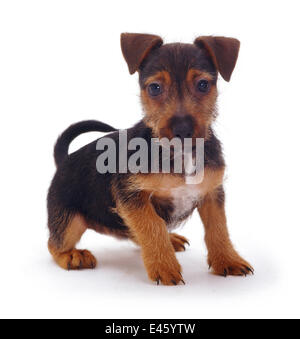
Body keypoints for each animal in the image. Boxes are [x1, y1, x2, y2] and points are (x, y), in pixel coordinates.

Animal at [47, 33, 253, 286]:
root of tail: (63, 160)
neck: (179, 154)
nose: (183, 129)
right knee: (54, 243)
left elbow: (218, 227)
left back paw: (171, 239)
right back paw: (71, 255)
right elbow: (152, 225)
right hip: (69, 221)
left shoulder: (211, 192)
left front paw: (228, 259)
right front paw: (164, 266)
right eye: (155, 88)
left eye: (203, 85)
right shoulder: (132, 197)